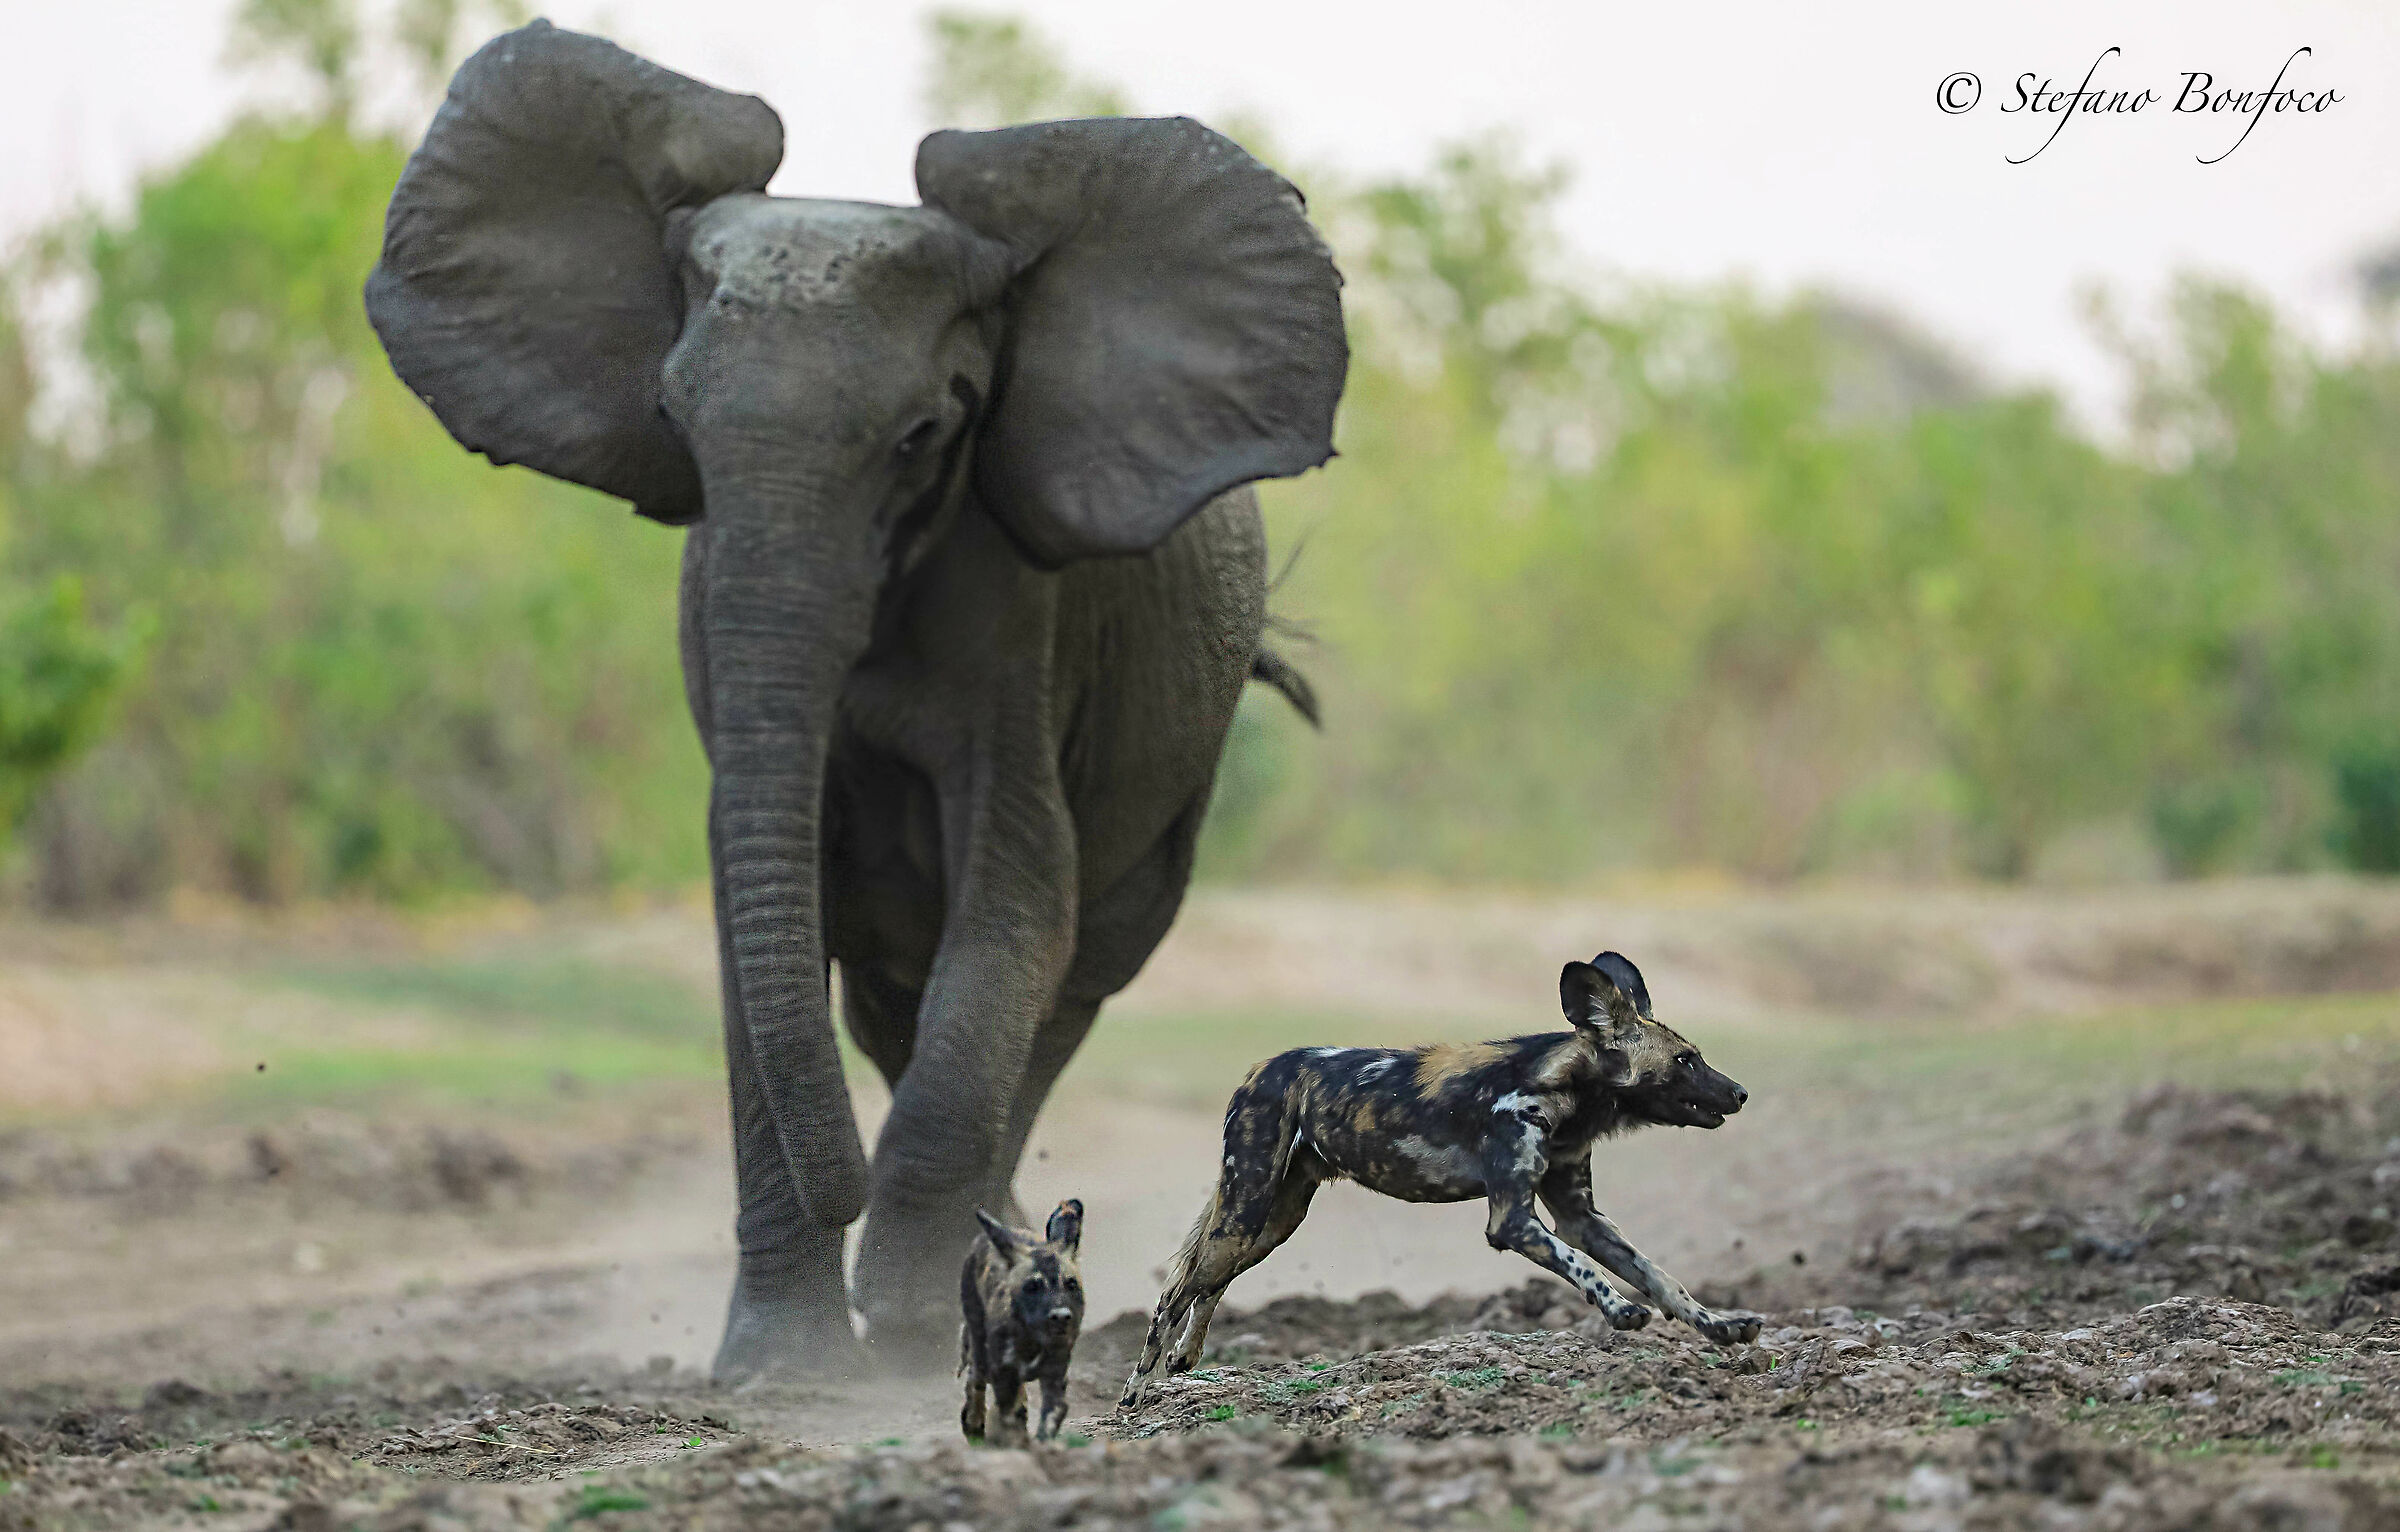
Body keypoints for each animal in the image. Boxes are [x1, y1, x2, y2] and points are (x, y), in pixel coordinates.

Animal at [363, 21, 1347, 1378]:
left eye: (924, 434)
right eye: (670, 415)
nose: (853, 1198)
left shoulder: (1021, 624)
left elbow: (1015, 903)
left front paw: (913, 1313)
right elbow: (752, 914)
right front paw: (780, 1366)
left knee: (1065, 980)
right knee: (898, 1007)